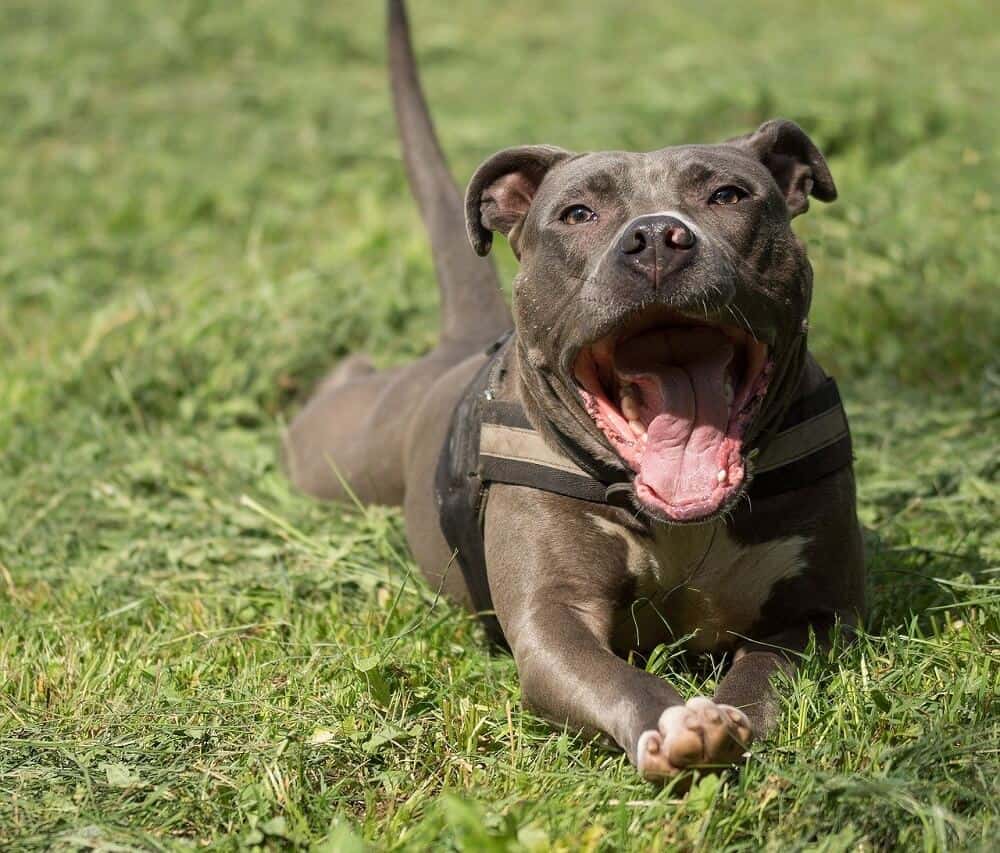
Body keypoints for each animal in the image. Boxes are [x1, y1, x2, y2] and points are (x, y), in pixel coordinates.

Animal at [286, 0, 864, 784]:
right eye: (578, 214)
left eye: (728, 195)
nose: (657, 238)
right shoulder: (551, 622)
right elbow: (616, 675)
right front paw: (675, 721)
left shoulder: (819, 611)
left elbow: (764, 670)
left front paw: (729, 713)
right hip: (336, 455)